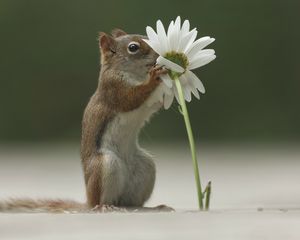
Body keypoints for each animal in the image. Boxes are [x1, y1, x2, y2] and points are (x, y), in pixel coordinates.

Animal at [0, 29, 172, 212]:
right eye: (133, 47)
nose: (160, 54)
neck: (136, 74)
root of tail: (87, 202)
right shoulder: (114, 89)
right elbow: (132, 98)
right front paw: (154, 77)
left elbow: (155, 104)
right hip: (104, 165)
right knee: (100, 200)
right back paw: (105, 206)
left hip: (145, 167)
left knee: (133, 203)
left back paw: (154, 207)